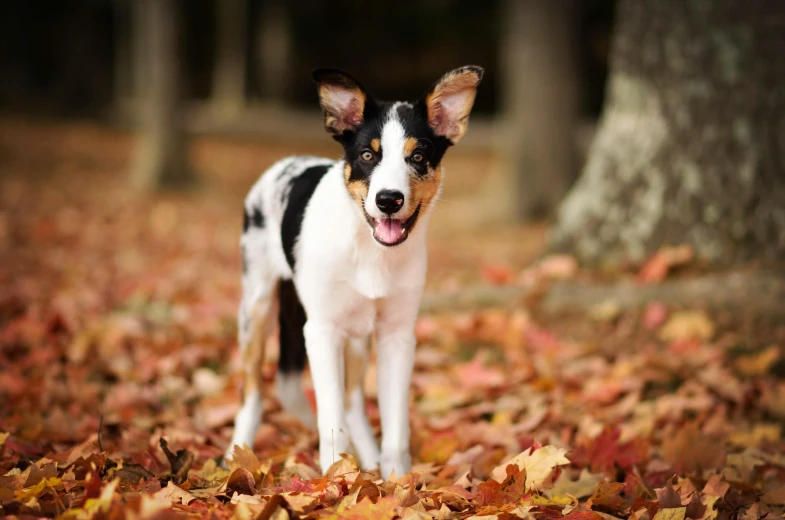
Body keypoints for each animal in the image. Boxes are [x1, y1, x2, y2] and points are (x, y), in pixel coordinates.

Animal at [225, 66, 484, 480]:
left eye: (418, 155)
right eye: (367, 155)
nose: (389, 199)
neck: (370, 250)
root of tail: (283, 163)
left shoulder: (397, 336)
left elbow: (394, 421)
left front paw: (396, 480)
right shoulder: (321, 331)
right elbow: (330, 418)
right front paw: (335, 478)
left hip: (359, 334)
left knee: (351, 401)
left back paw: (370, 458)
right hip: (257, 305)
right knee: (253, 389)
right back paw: (236, 453)